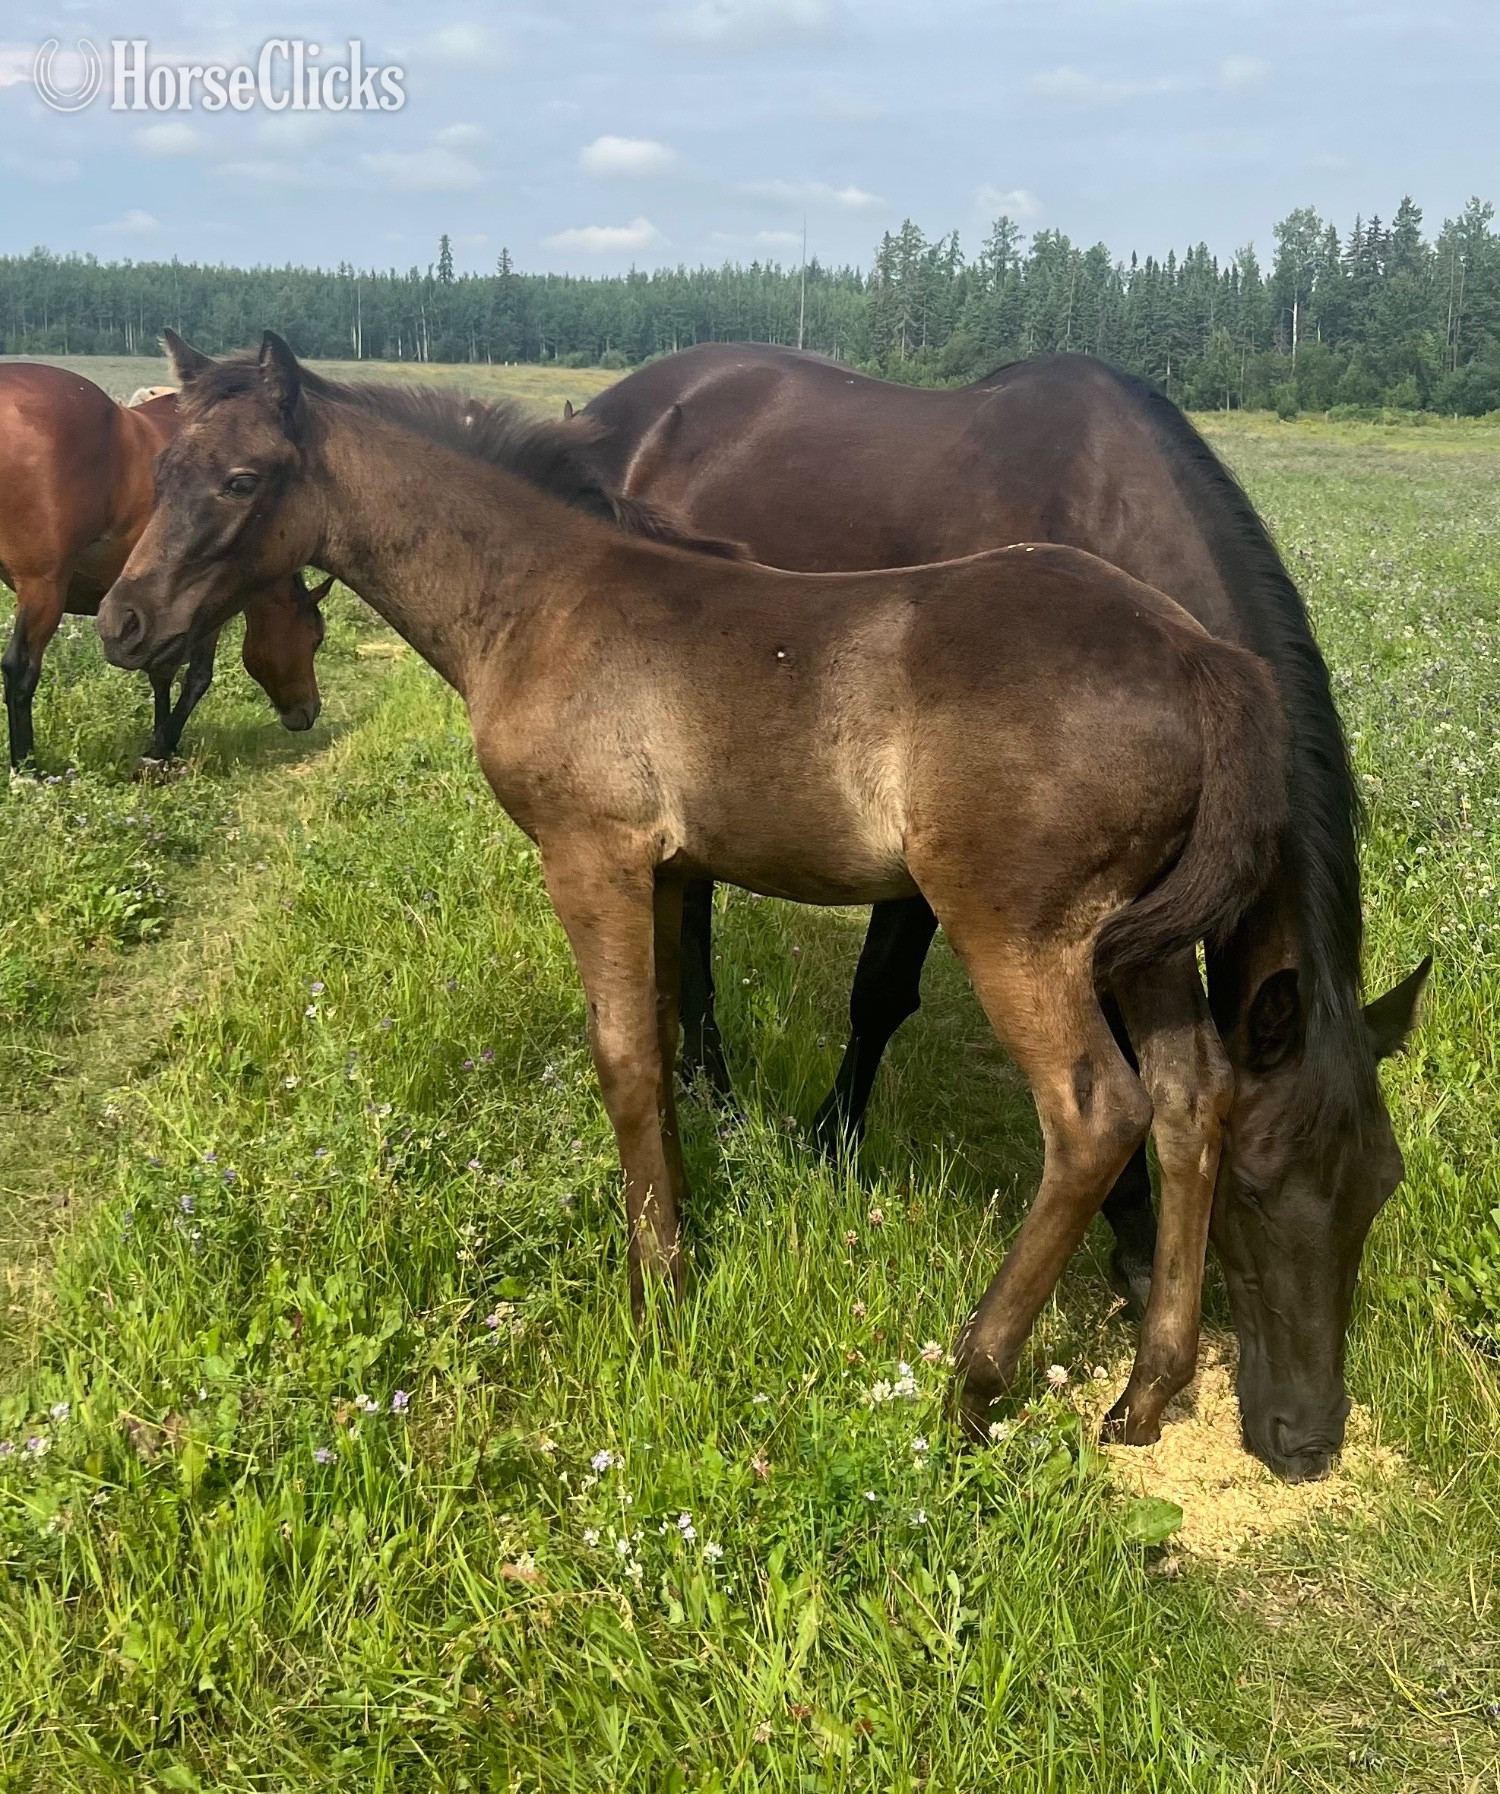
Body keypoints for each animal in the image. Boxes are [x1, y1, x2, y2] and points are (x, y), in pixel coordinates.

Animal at [0, 361, 326, 770]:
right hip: (44, 589)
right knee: (20, 669)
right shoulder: (202, 614)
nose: (309, 712)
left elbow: (160, 673)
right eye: (315, 637)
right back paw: (27, 768)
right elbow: (195, 677)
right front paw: (162, 744)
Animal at [99, 332, 1294, 1455]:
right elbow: (671, 1038)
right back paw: (1145, 1392)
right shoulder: (669, 872)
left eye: (243, 478)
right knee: (1193, 1094)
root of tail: (1195, 655)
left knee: (1096, 1114)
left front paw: (657, 1294)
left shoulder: (591, 854)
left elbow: (624, 1061)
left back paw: (972, 1377)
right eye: (159, 472)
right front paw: (680, 1240)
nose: (120, 623)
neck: (546, 599)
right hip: (1143, 941)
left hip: (1019, 930)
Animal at [573, 342, 1430, 1481]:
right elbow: (883, 996)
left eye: (1381, 1186)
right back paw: (708, 1079)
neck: (1103, 510)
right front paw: (838, 1142)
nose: (1306, 1438)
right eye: (1253, 1187)